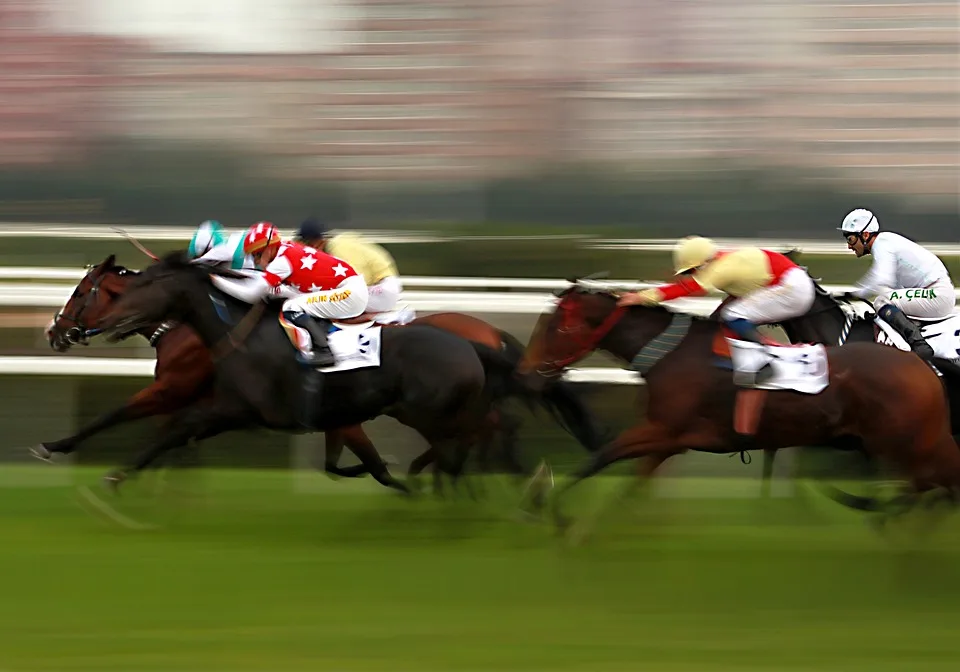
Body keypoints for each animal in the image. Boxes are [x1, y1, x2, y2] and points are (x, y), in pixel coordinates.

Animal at [39, 255, 608, 486]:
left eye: (82, 291)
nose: (55, 332)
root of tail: (484, 333)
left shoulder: (179, 392)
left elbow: (119, 414)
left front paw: (56, 446)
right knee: (484, 432)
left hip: (440, 407)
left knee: (488, 429)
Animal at [520, 278, 960, 532]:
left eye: (556, 327)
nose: (524, 375)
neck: (671, 353)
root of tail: (922, 365)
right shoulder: (668, 439)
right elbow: (630, 480)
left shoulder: (662, 430)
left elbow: (600, 457)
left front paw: (552, 508)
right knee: (930, 486)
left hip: (907, 442)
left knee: (931, 484)